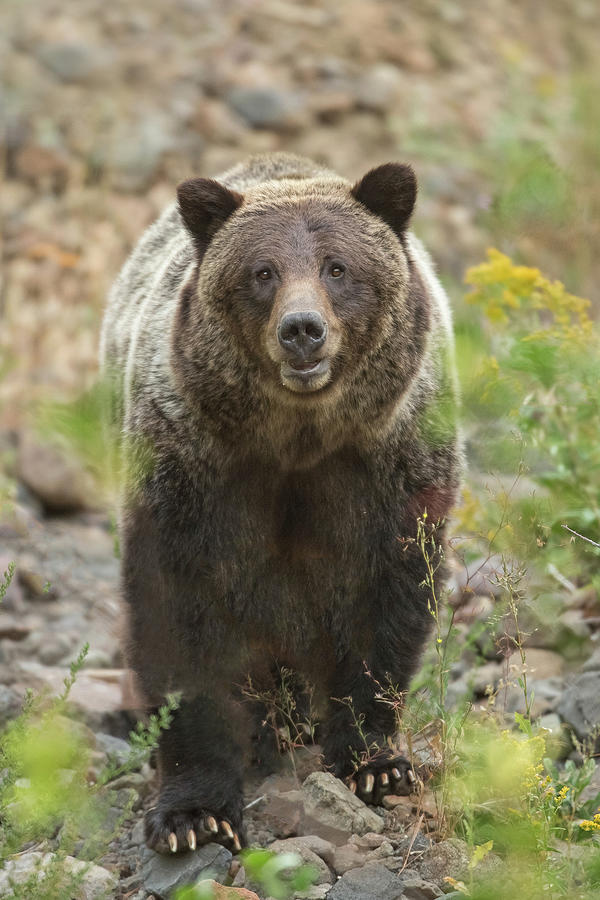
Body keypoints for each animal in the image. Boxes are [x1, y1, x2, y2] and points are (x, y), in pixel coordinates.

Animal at [101, 151, 462, 856]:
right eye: (262, 271)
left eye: (338, 267)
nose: (303, 330)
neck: (298, 439)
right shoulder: (193, 474)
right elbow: (179, 620)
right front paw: (194, 813)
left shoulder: (388, 468)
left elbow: (386, 607)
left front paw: (375, 764)